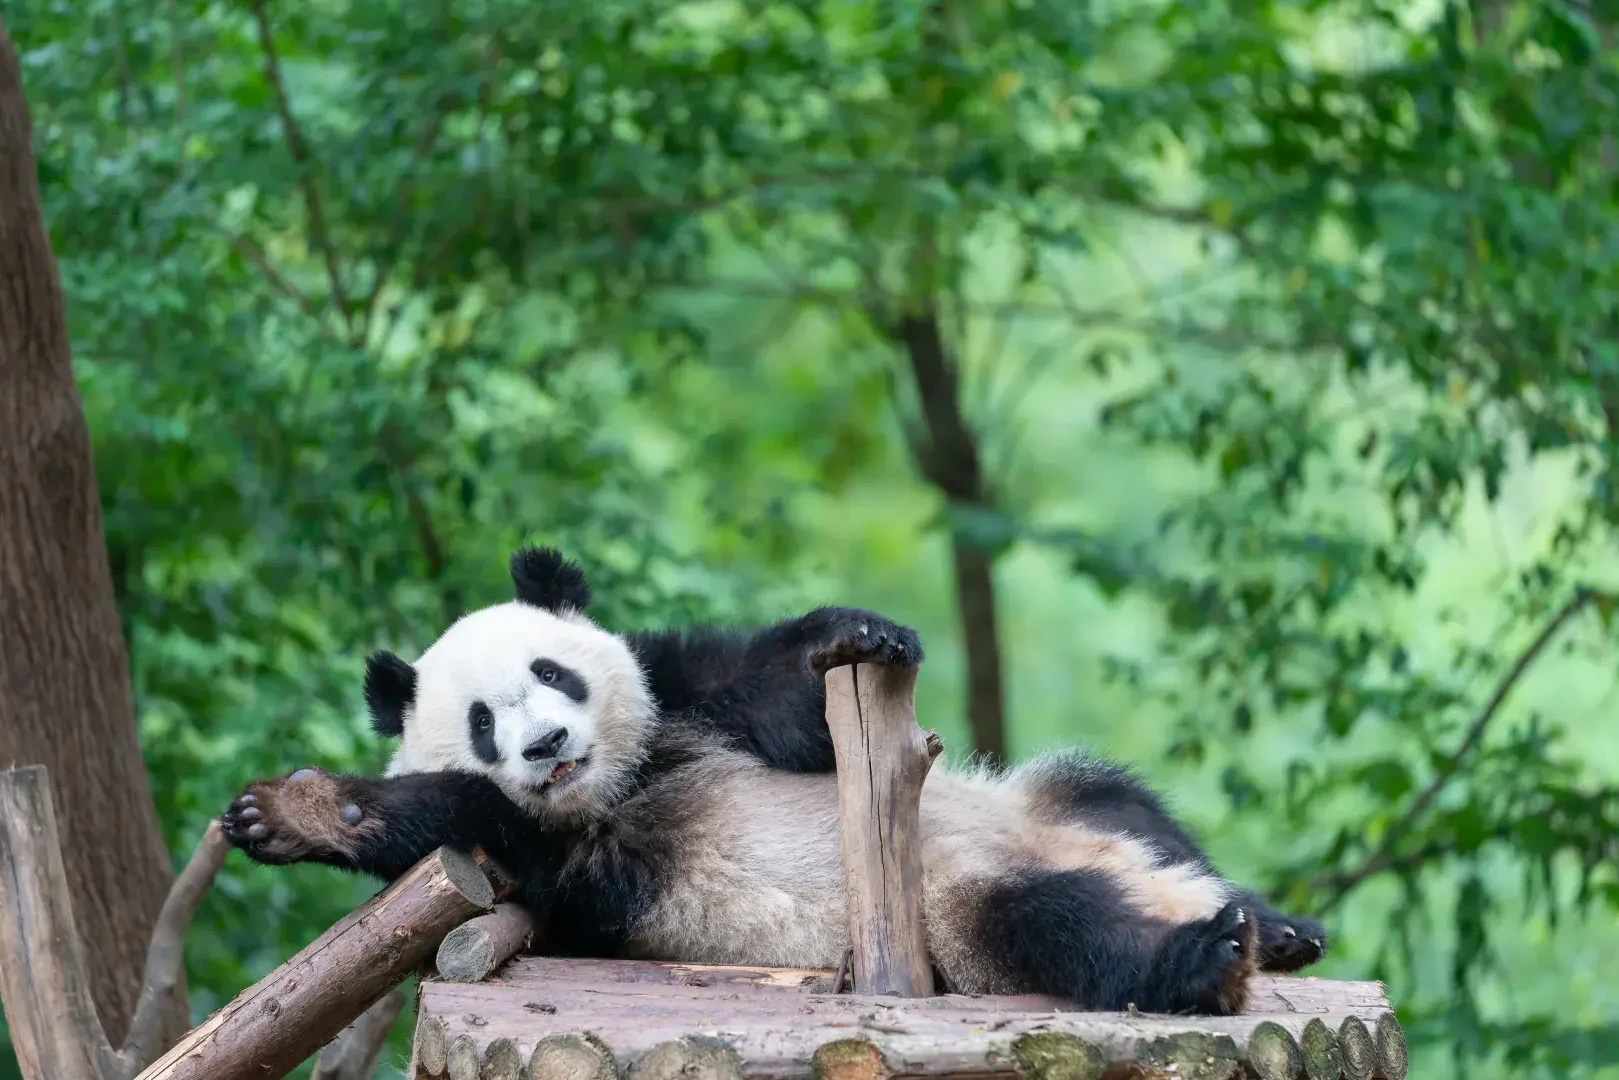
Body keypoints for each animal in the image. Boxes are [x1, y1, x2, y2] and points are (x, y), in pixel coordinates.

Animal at [220, 546, 1326, 1014]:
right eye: (483, 723)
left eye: (552, 674)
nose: (546, 746)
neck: (620, 781)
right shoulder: (577, 865)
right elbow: (469, 816)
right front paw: (291, 812)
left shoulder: (685, 694)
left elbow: (786, 703)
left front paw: (858, 636)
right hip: (956, 917)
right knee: (1058, 927)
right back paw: (1204, 959)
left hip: (1047, 804)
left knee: (1124, 805)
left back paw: (1271, 927)